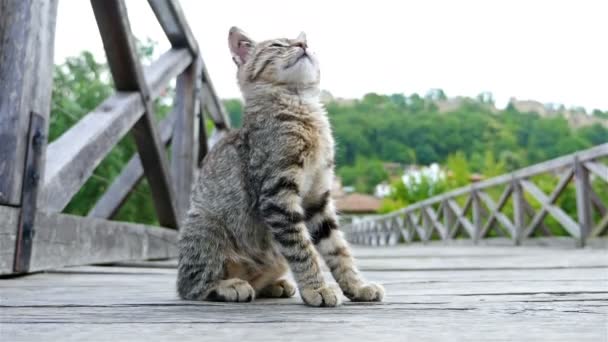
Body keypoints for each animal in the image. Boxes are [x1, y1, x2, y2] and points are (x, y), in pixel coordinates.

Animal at [177, 26, 384, 308]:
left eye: (305, 42)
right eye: (277, 45)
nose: (302, 45)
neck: (301, 107)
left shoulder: (318, 197)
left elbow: (338, 249)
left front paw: (357, 286)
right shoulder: (277, 194)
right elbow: (302, 249)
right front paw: (317, 289)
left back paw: (274, 285)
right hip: (206, 227)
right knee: (191, 286)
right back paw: (229, 286)